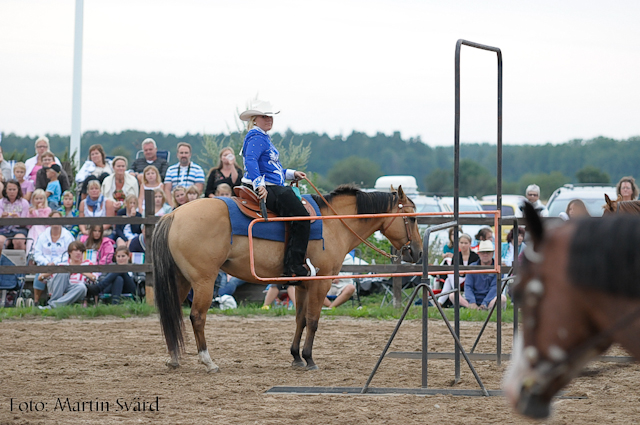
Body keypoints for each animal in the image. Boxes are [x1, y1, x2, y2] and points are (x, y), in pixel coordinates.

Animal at [153, 184, 422, 372]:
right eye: (411, 218)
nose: (418, 252)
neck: (333, 223)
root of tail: (172, 215)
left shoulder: (302, 285)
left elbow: (300, 320)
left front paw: (296, 357)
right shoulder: (321, 282)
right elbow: (313, 320)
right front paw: (310, 359)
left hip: (181, 280)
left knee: (173, 313)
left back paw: (174, 358)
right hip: (204, 281)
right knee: (197, 317)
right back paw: (208, 361)